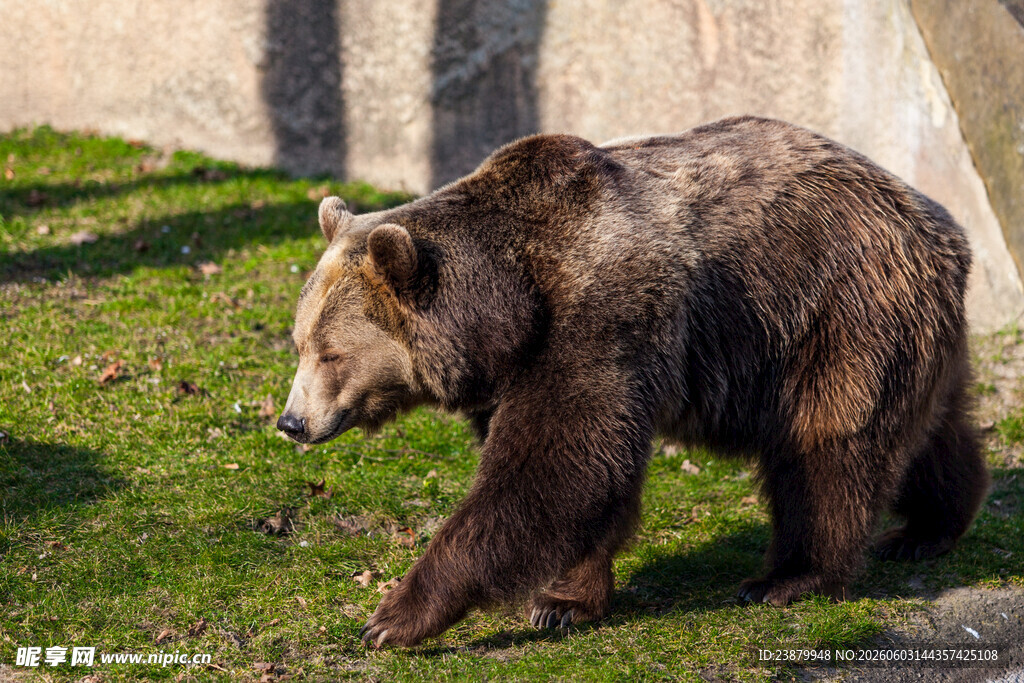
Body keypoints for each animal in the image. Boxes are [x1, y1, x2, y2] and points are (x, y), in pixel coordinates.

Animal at [277, 115, 989, 647]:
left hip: (835, 312)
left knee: (826, 447)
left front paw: (394, 615)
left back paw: (789, 576)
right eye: (299, 342)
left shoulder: (601, 318)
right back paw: (930, 527)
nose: (292, 421)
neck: (511, 305)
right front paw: (563, 599)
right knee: (931, 430)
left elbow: (555, 468)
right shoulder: (518, 366)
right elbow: (578, 479)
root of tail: (941, 223)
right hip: (903, 328)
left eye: (332, 354)